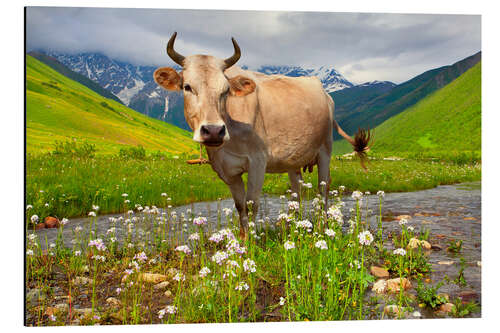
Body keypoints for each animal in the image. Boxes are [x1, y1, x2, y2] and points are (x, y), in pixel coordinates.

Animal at [153, 32, 372, 237]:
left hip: (325, 149)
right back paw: (292, 227)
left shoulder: (258, 160)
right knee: (297, 191)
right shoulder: (225, 169)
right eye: (187, 87)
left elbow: (251, 204)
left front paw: (251, 241)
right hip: (294, 159)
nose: (214, 131)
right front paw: (242, 241)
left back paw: (322, 227)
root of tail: (325, 93)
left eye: (226, 90)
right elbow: (240, 206)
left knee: (323, 188)